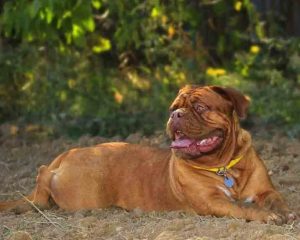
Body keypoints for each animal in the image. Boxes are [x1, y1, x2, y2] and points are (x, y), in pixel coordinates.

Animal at [0, 86, 296, 223]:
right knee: (42, 175)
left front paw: (286, 212)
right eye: (174, 108)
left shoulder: (266, 191)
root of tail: (67, 154)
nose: (176, 115)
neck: (222, 165)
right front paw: (267, 216)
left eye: (200, 107)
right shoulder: (213, 202)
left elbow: (278, 200)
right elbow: (241, 207)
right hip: (82, 193)